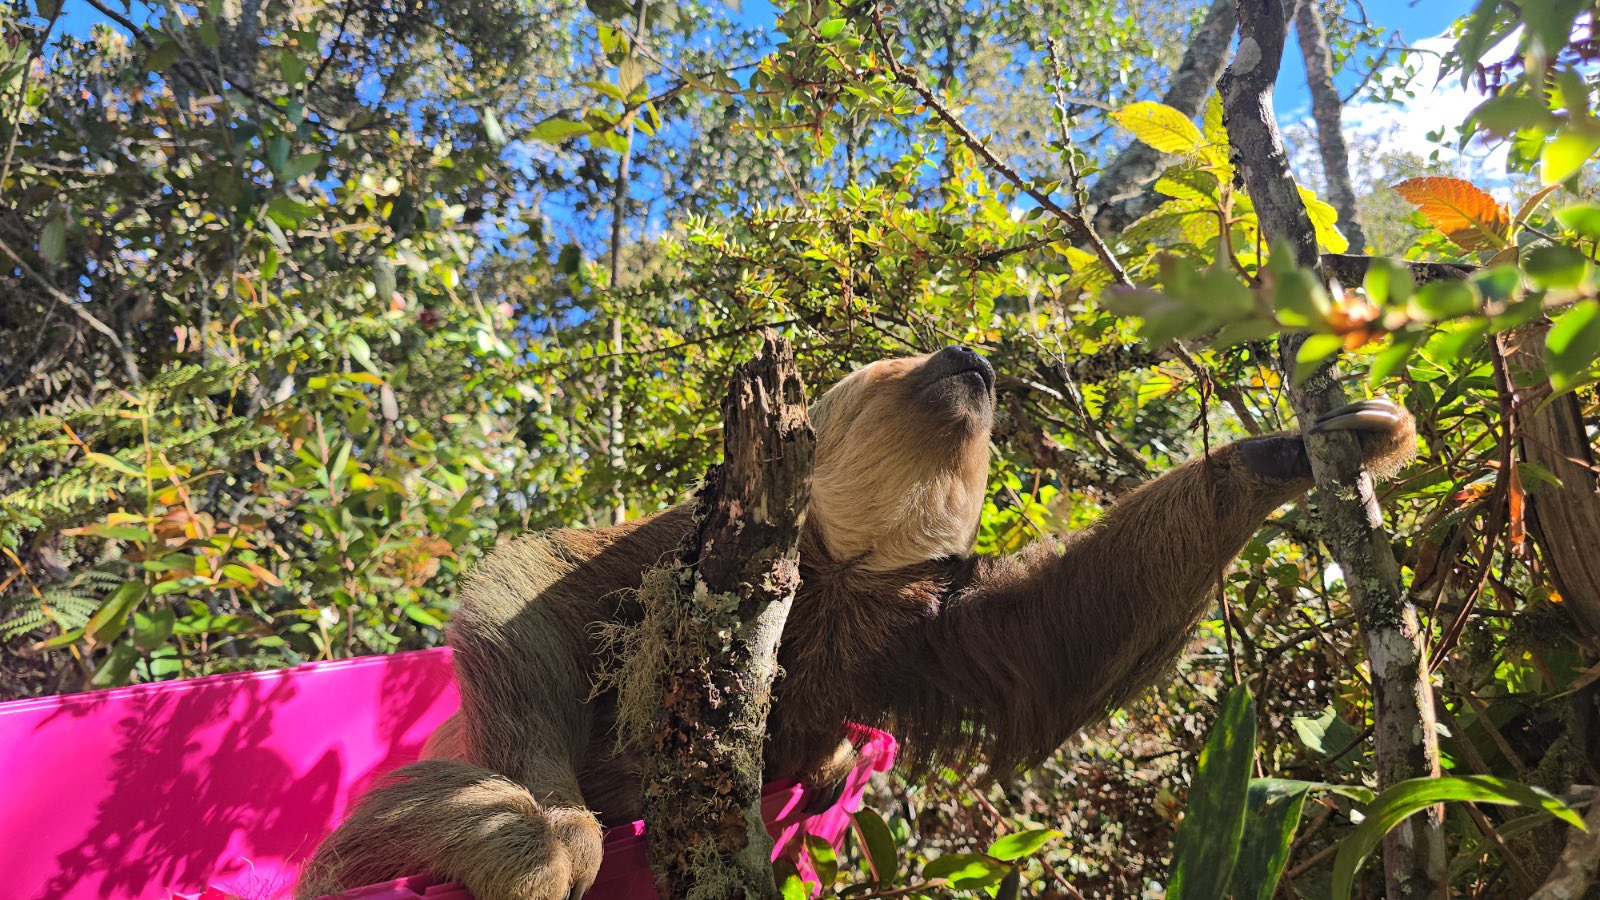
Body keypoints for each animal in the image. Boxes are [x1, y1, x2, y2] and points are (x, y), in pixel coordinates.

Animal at [297, 344, 1415, 899]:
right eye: (908, 365)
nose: (972, 357)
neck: (837, 570)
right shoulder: (679, 544)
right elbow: (529, 583)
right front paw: (550, 827)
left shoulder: (920, 626)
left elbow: (1056, 637)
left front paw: (1290, 450)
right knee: (409, 822)